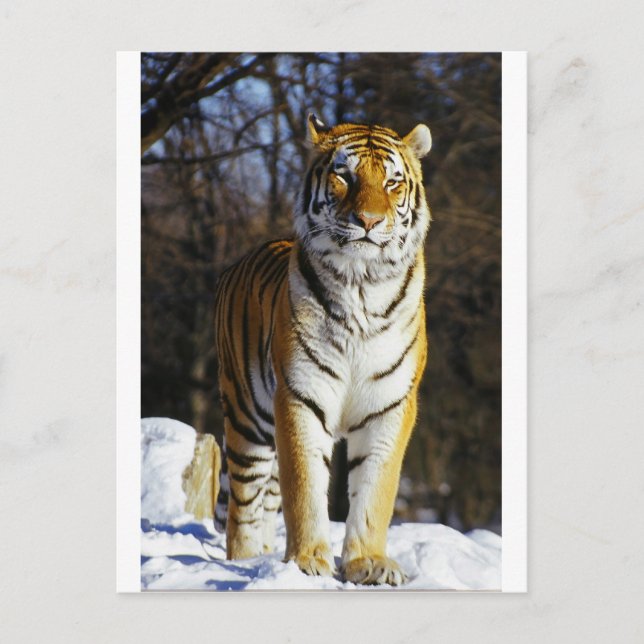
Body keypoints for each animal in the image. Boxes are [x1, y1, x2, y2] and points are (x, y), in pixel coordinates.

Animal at [213, 114, 432, 585]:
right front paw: (308, 562)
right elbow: (305, 487)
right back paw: (244, 563)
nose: (368, 220)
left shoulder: (391, 404)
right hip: (246, 417)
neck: (362, 285)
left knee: (268, 498)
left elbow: (375, 490)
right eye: (344, 175)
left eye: (392, 182)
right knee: (244, 503)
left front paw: (368, 563)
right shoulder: (300, 395)